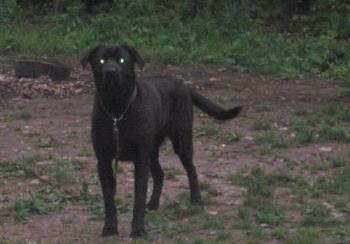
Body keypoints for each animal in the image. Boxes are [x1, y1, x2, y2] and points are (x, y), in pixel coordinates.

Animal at [81, 44, 242, 238]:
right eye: (101, 60)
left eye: (122, 60)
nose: (111, 71)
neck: (117, 110)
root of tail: (183, 85)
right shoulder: (104, 160)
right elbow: (108, 198)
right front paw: (110, 228)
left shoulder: (140, 158)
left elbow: (139, 195)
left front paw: (138, 229)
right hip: (153, 151)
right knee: (160, 175)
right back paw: (153, 204)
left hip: (181, 142)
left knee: (191, 170)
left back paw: (196, 200)